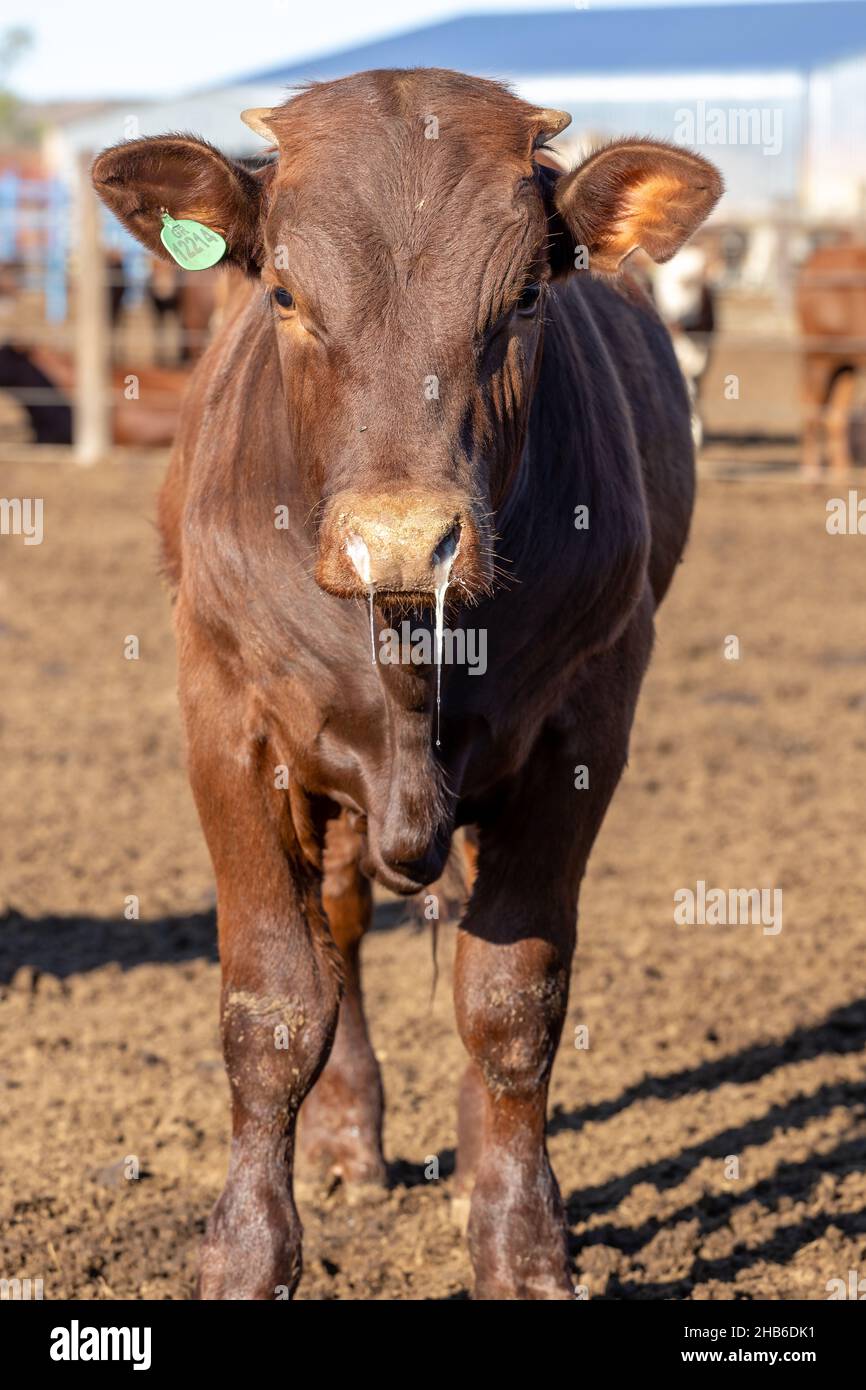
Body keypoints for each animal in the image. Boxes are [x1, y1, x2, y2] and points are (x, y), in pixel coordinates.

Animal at [92, 68, 721, 1301]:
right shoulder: (226, 720)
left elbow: (513, 998)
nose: (399, 540)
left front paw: (521, 1245)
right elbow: (274, 1004)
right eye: (283, 291)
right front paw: (248, 1252)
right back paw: (346, 1142)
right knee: (337, 926)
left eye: (524, 295)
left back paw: (473, 1169)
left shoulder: (583, 724)